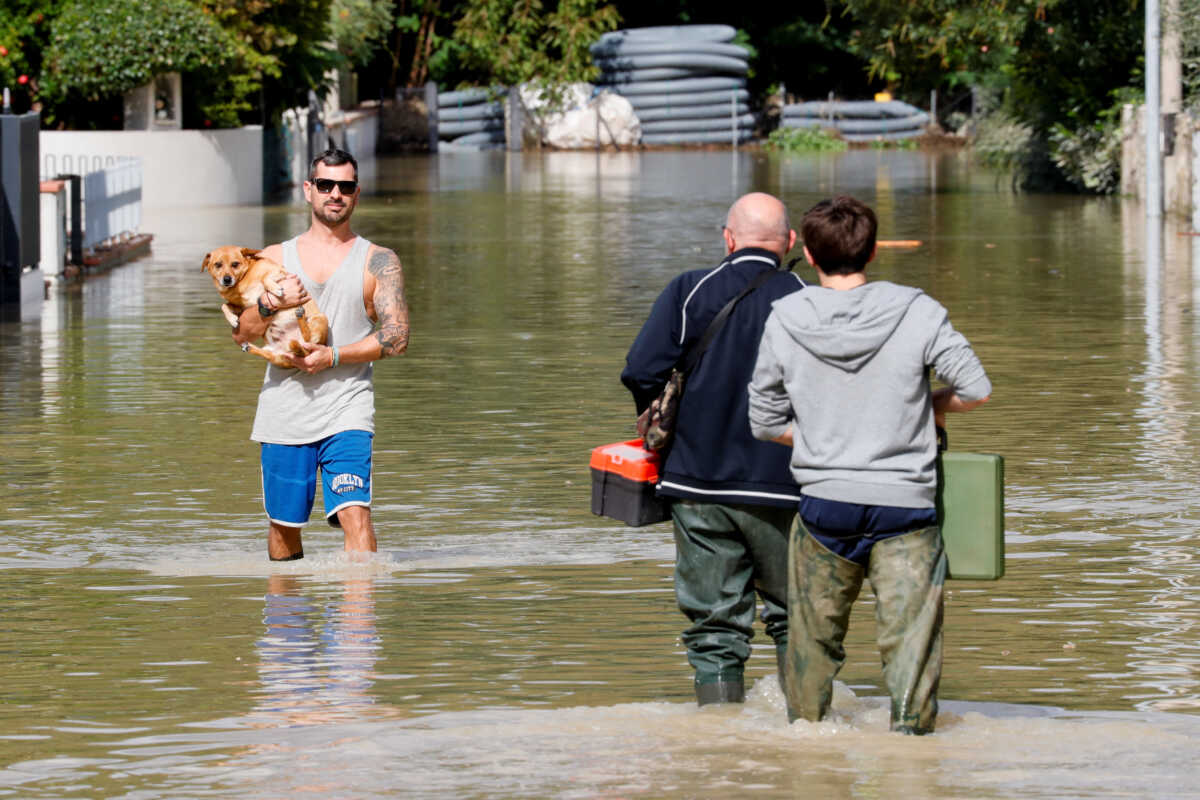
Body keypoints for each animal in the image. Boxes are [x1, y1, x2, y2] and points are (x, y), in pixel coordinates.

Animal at [201, 245, 331, 371]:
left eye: (235, 264)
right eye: (218, 264)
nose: (227, 279)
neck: (243, 280)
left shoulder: (280, 272)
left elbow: (264, 278)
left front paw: (275, 289)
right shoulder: (242, 307)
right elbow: (224, 305)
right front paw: (232, 319)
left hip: (320, 319)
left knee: (307, 339)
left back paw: (300, 315)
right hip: (276, 354)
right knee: (269, 353)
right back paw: (249, 347)